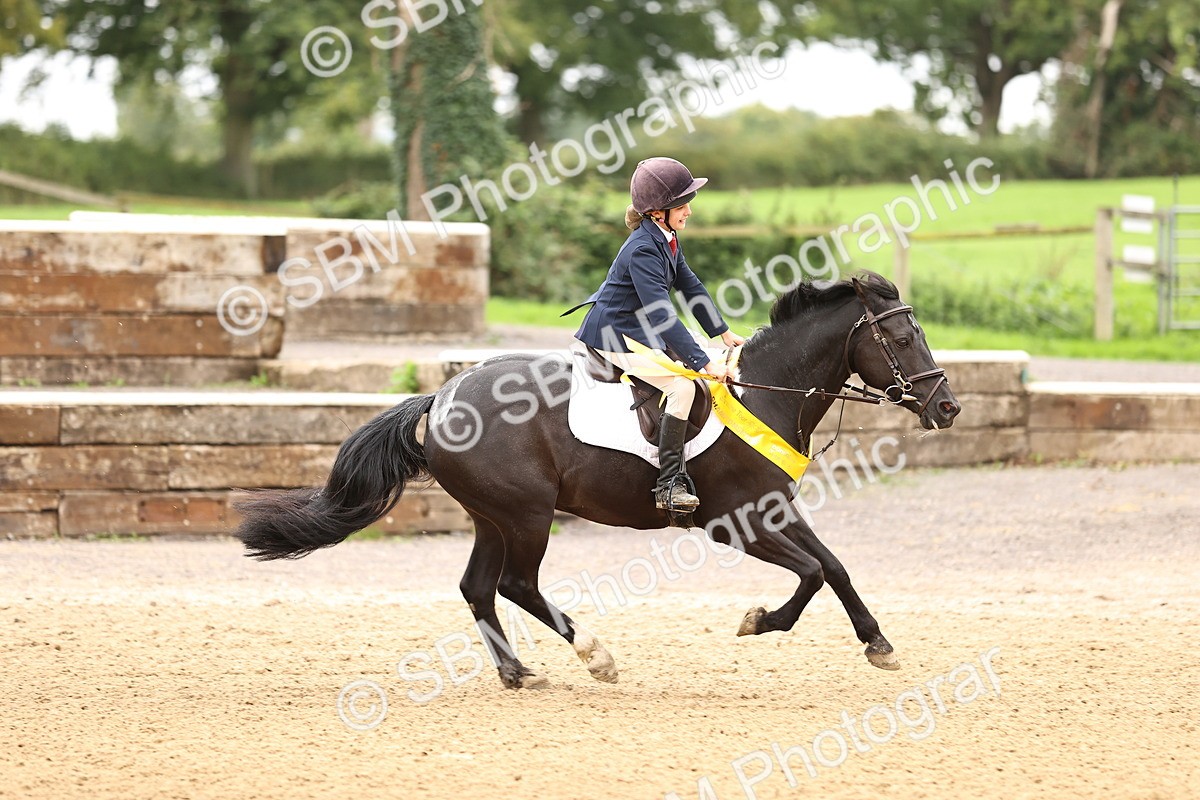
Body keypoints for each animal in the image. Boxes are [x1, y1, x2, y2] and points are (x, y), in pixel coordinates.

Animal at [233, 271, 961, 690]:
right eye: (902, 340)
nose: (948, 407)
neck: (766, 391)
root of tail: (439, 399)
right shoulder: (737, 522)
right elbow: (809, 574)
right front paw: (760, 622)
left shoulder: (775, 510)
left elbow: (833, 567)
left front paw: (878, 644)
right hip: (527, 514)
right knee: (515, 585)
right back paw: (595, 656)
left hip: (493, 515)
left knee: (478, 587)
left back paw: (517, 673)